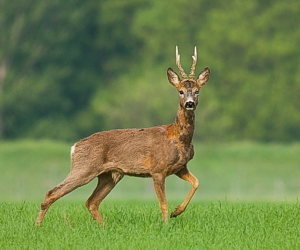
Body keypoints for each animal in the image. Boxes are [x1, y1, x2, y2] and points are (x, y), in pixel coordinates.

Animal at [36, 46, 210, 226]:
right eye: (180, 91)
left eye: (197, 91)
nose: (189, 103)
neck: (178, 139)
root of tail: (74, 146)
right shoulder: (157, 169)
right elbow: (163, 203)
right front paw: (166, 224)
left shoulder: (180, 167)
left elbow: (196, 182)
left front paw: (177, 211)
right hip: (84, 167)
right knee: (52, 193)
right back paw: (38, 226)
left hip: (110, 175)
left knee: (91, 201)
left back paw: (104, 227)